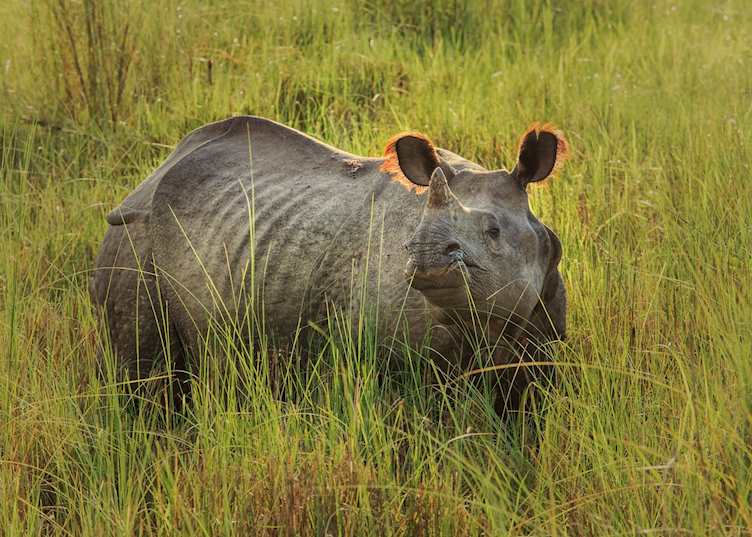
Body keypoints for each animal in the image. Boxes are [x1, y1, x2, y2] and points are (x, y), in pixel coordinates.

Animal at [90, 115, 568, 414]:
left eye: (493, 231)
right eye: (413, 231)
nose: (425, 257)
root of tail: (153, 174)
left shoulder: (541, 337)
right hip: (134, 235)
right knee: (144, 374)